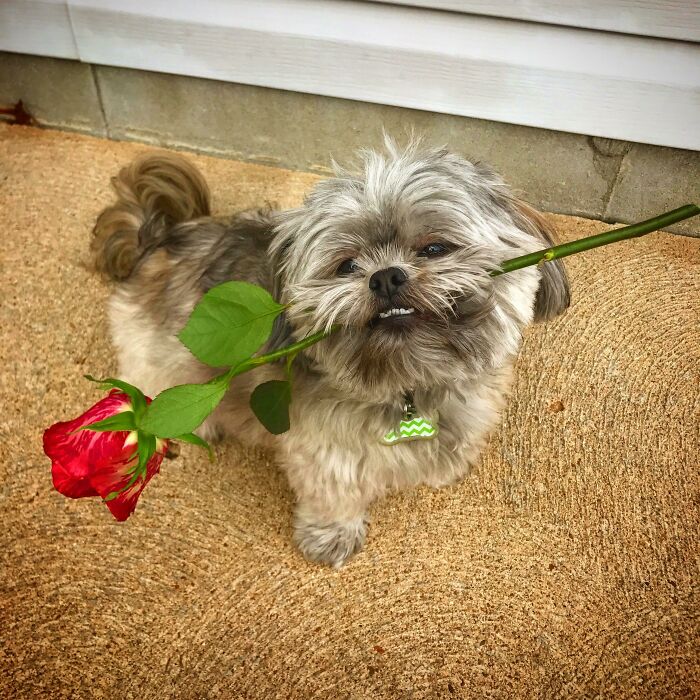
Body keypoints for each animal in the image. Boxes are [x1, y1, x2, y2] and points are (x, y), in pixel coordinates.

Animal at [90, 139, 568, 568]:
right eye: (347, 266)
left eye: (435, 248)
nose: (386, 277)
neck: (409, 383)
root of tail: (161, 235)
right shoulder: (324, 450)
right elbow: (333, 495)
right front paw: (332, 537)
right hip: (162, 355)